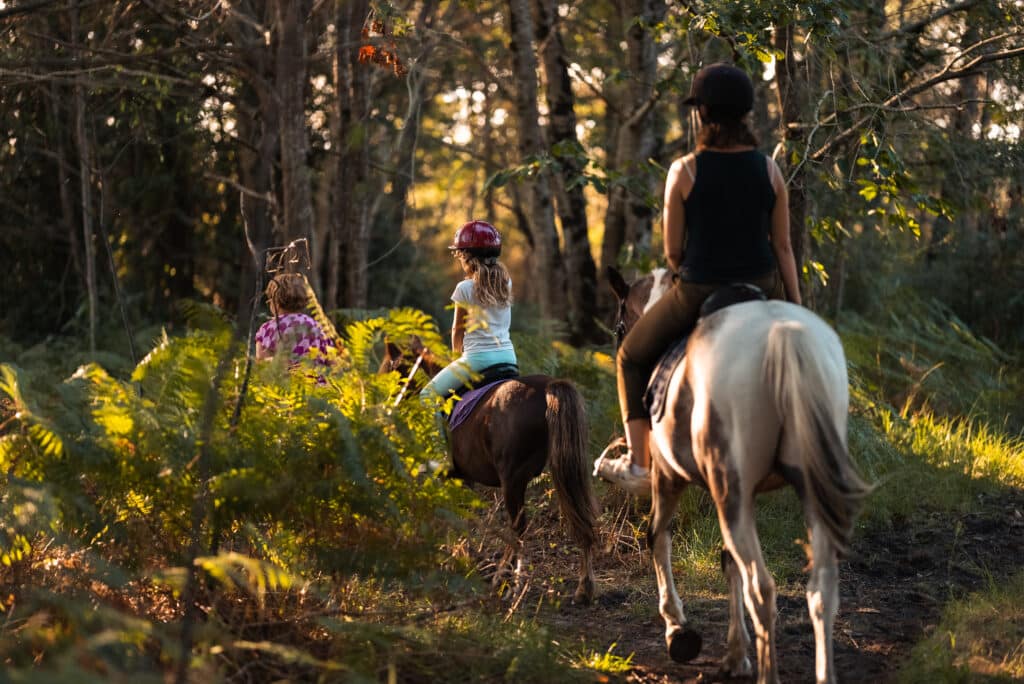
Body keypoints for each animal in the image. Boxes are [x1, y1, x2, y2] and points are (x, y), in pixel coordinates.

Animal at [380, 337, 598, 602]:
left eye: (388, 370)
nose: (384, 408)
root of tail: (548, 386)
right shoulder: (464, 479)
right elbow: (462, 517)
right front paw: (460, 556)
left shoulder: (449, 477)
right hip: (561, 470)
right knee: (579, 516)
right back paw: (583, 587)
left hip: (512, 480)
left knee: (518, 529)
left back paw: (508, 582)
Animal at [606, 266, 872, 684]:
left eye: (620, 326)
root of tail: (783, 337)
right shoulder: (738, 496)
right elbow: (729, 561)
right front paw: (736, 654)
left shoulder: (669, 477)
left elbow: (657, 538)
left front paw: (677, 629)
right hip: (805, 491)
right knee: (821, 591)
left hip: (726, 491)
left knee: (762, 589)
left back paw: (768, 673)